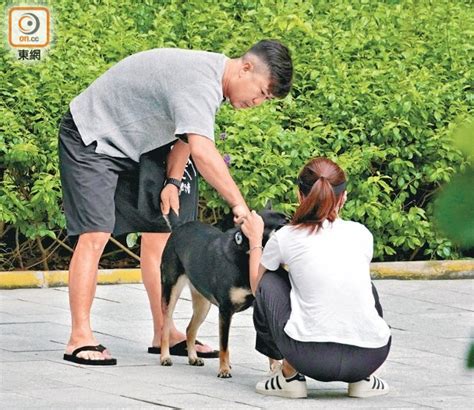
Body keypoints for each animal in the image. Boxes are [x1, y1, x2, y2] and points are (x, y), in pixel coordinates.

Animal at [160, 210, 286, 376]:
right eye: (284, 224)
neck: (246, 253)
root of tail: (179, 226)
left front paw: (275, 367)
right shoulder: (225, 310)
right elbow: (224, 345)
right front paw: (224, 369)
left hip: (203, 305)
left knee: (190, 329)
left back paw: (193, 357)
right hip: (171, 291)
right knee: (165, 326)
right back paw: (165, 357)